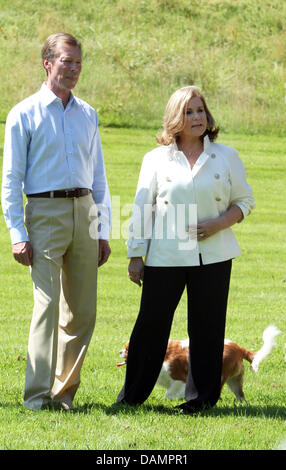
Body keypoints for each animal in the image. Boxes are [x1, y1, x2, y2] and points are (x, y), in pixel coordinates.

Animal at [117, 326, 280, 400]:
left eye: (127, 349)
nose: (119, 351)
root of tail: (238, 347)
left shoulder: (178, 378)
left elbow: (169, 394)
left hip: (220, 376)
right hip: (234, 381)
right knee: (240, 395)